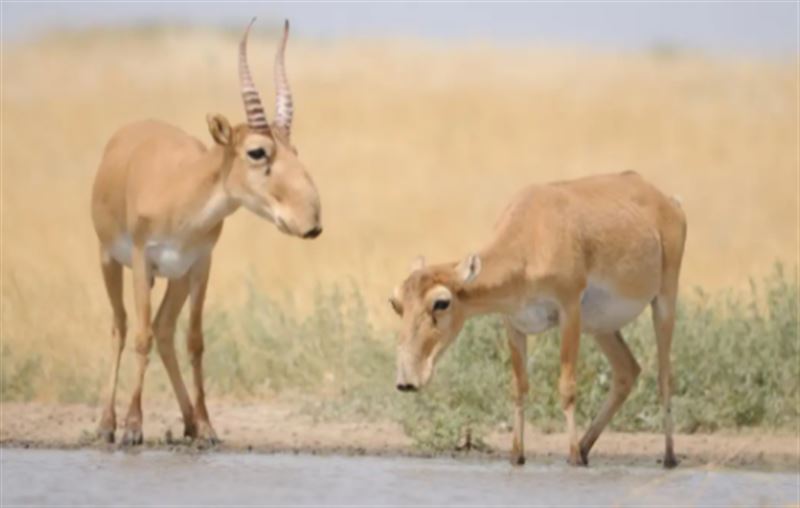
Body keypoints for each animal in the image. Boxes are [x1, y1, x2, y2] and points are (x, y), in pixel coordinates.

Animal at [92, 18, 320, 444]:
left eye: (294, 151)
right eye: (257, 152)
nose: (311, 221)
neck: (181, 191)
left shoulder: (200, 265)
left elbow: (195, 341)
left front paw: (208, 426)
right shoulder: (142, 261)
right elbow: (141, 337)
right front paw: (133, 427)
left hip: (177, 279)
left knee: (165, 329)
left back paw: (189, 422)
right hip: (109, 261)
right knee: (122, 327)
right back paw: (107, 424)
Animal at [390, 173, 688, 466]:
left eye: (441, 302)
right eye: (395, 302)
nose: (407, 380)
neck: (532, 233)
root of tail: (669, 202)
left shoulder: (569, 310)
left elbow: (567, 387)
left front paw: (572, 458)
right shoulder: (513, 323)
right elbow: (519, 387)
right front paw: (517, 456)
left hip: (664, 300)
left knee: (665, 377)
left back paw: (668, 456)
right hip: (601, 327)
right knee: (627, 370)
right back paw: (585, 447)